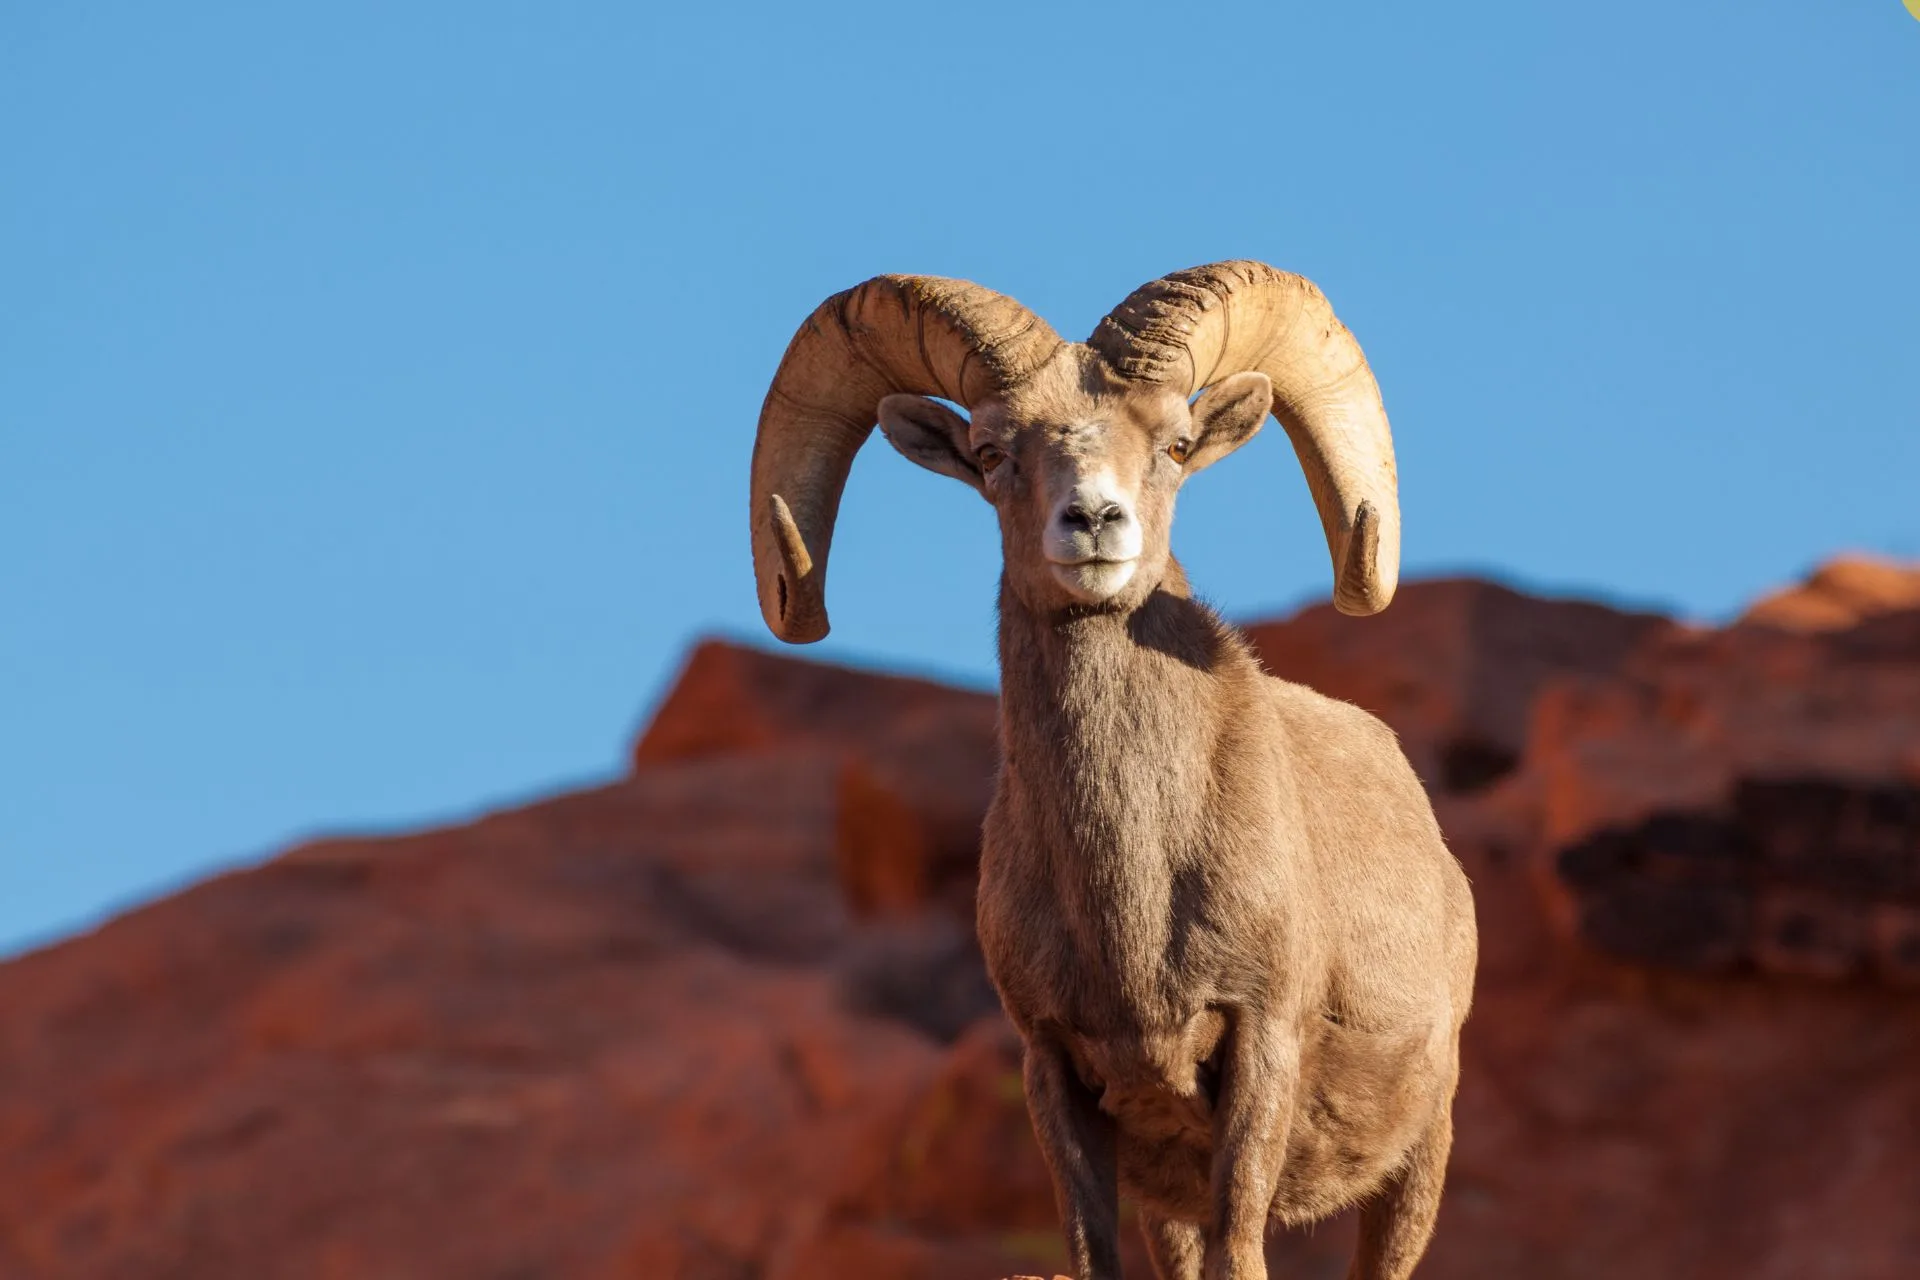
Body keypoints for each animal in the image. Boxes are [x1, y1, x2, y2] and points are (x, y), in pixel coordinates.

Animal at [746, 261, 1477, 1280]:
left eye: (1174, 443)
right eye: (991, 452)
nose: (1093, 521)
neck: (1133, 894)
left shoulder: (1260, 1047)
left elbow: (1242, 1246)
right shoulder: (1058, 1070)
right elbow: (1094, 1248)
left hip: (1418, 1163)